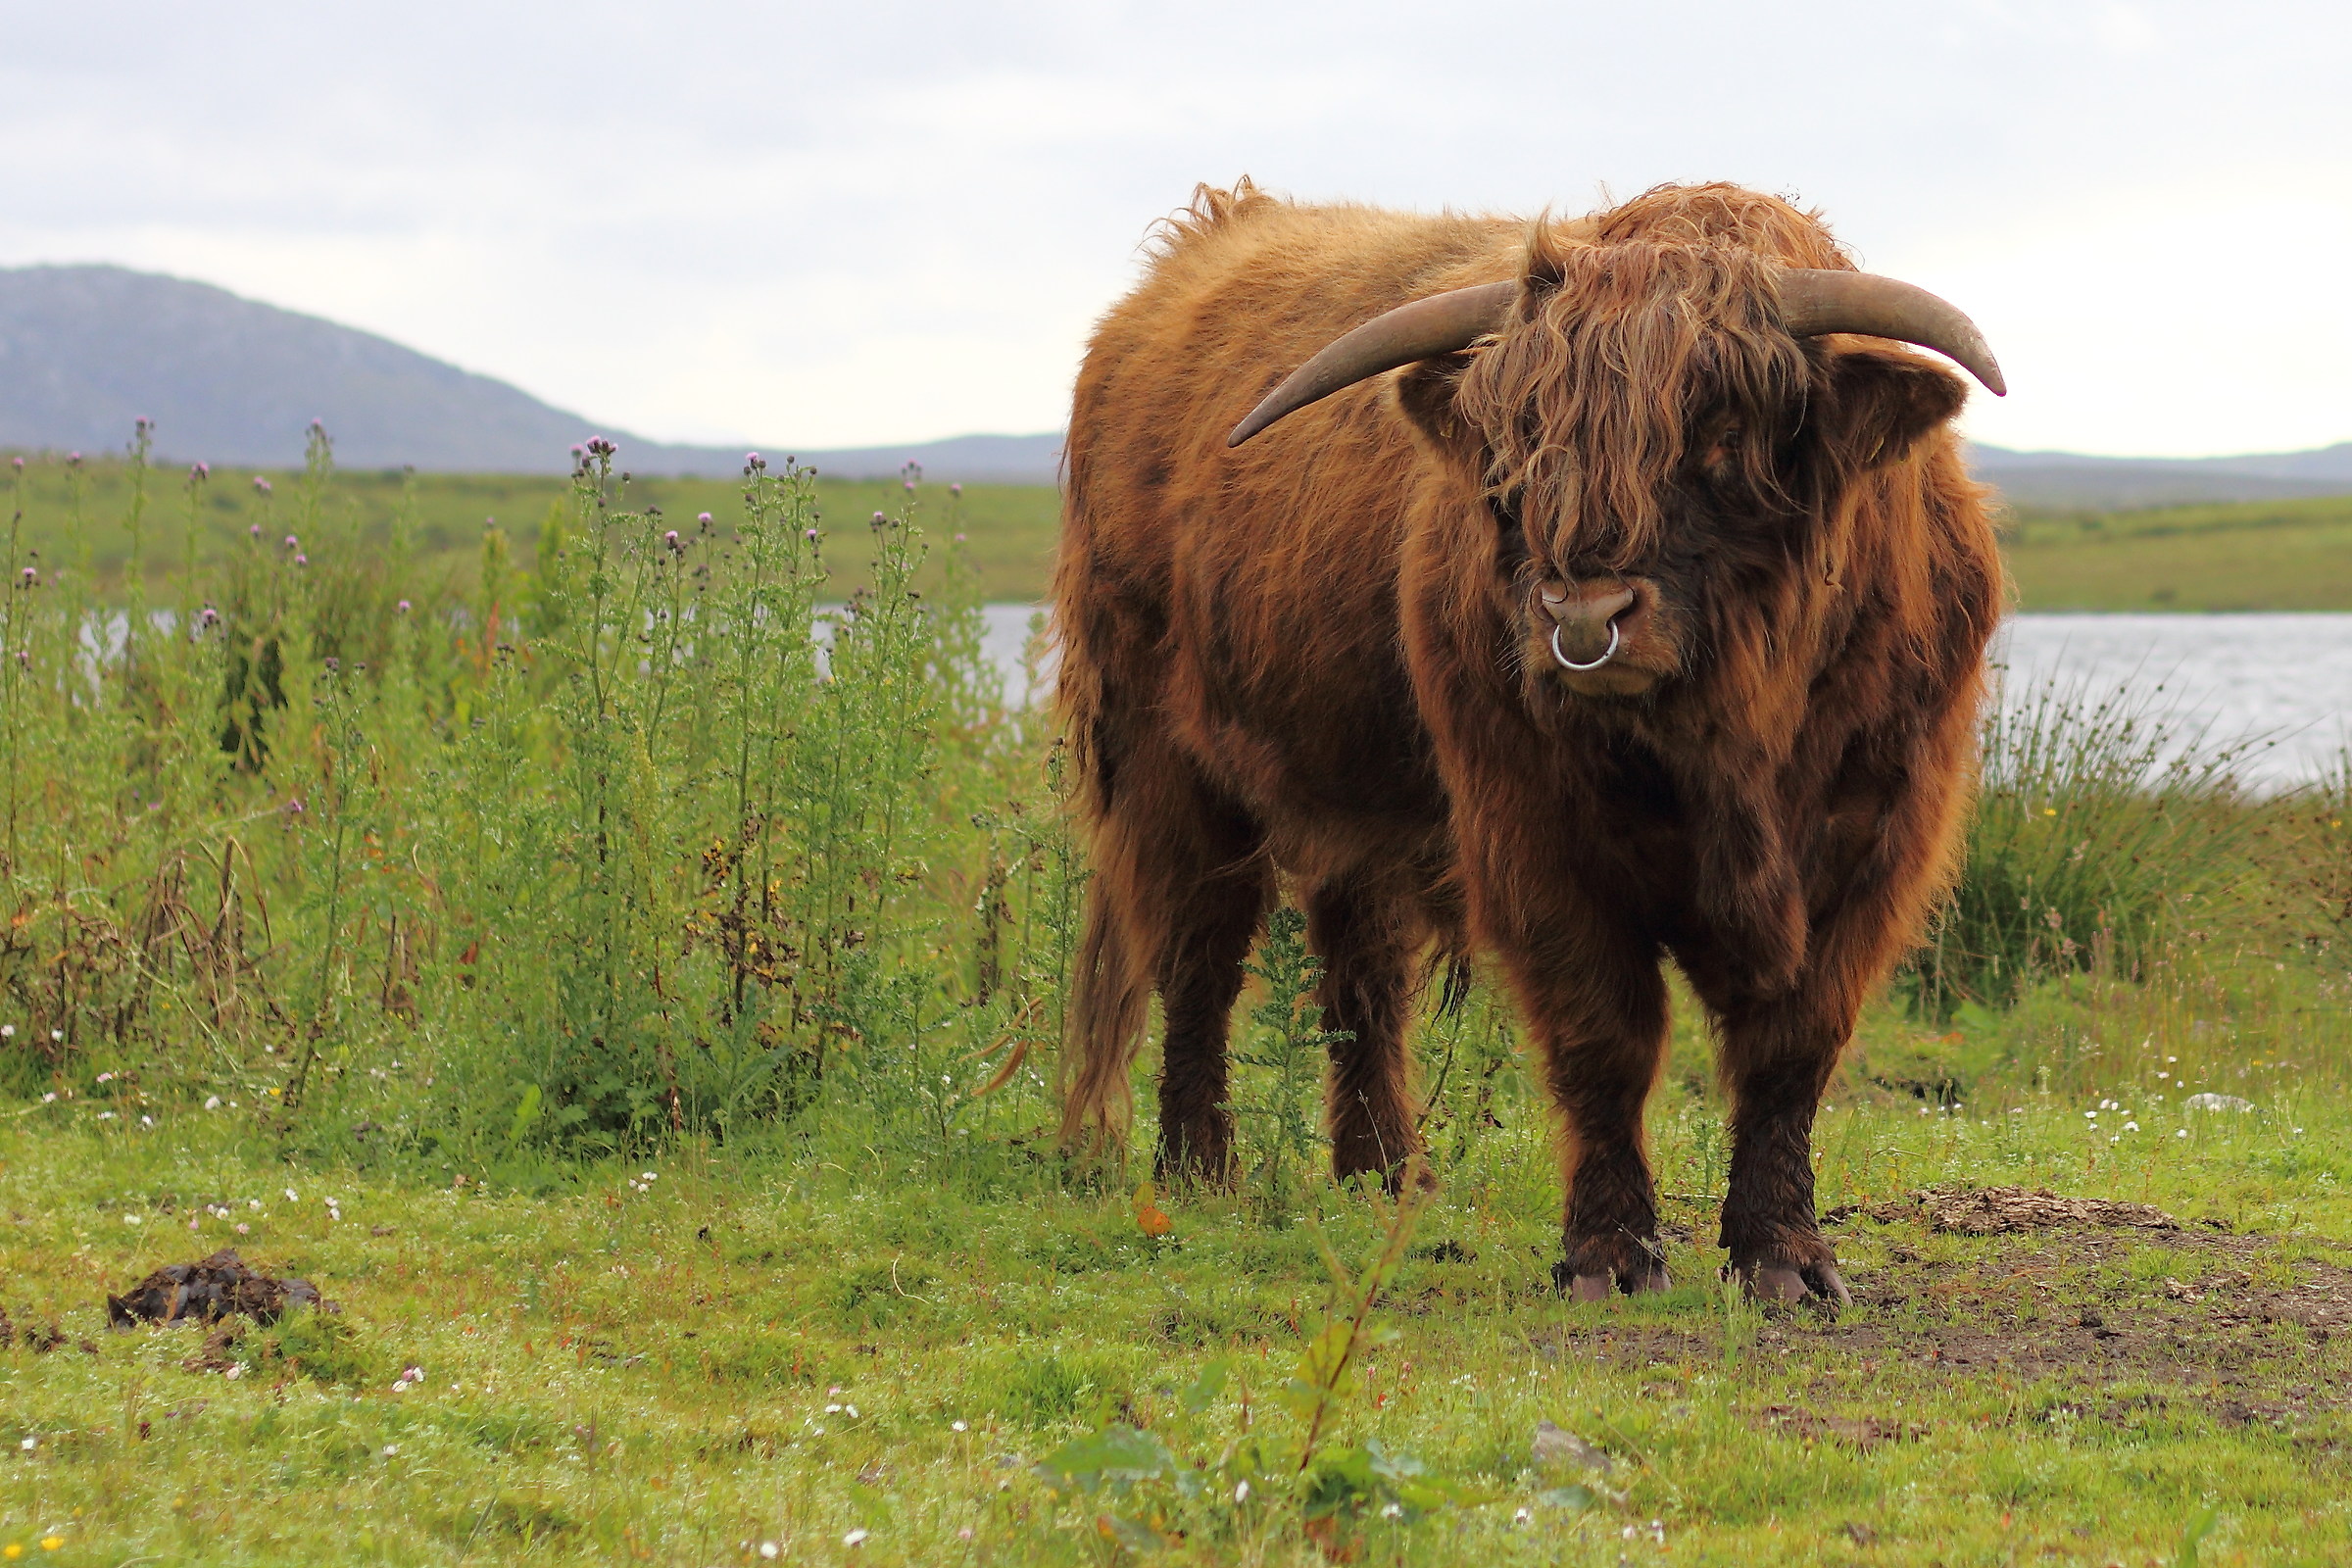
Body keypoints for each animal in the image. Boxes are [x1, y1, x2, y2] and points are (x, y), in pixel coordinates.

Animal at [1051, 180, 2004, 1304]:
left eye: (1723, 432)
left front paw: (1784, 1257)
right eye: (1514, 455)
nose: (1585, 619)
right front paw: (1609, 1255)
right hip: (1168, 759)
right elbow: (1605, 1031)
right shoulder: (1530, 827)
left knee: (1362, 973)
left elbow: (1793, 1044)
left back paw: (1387, 1173)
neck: (1733, 741)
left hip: (1358, 792)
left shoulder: (1877, 833)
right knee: (1201, 953)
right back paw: (1197, 1170)